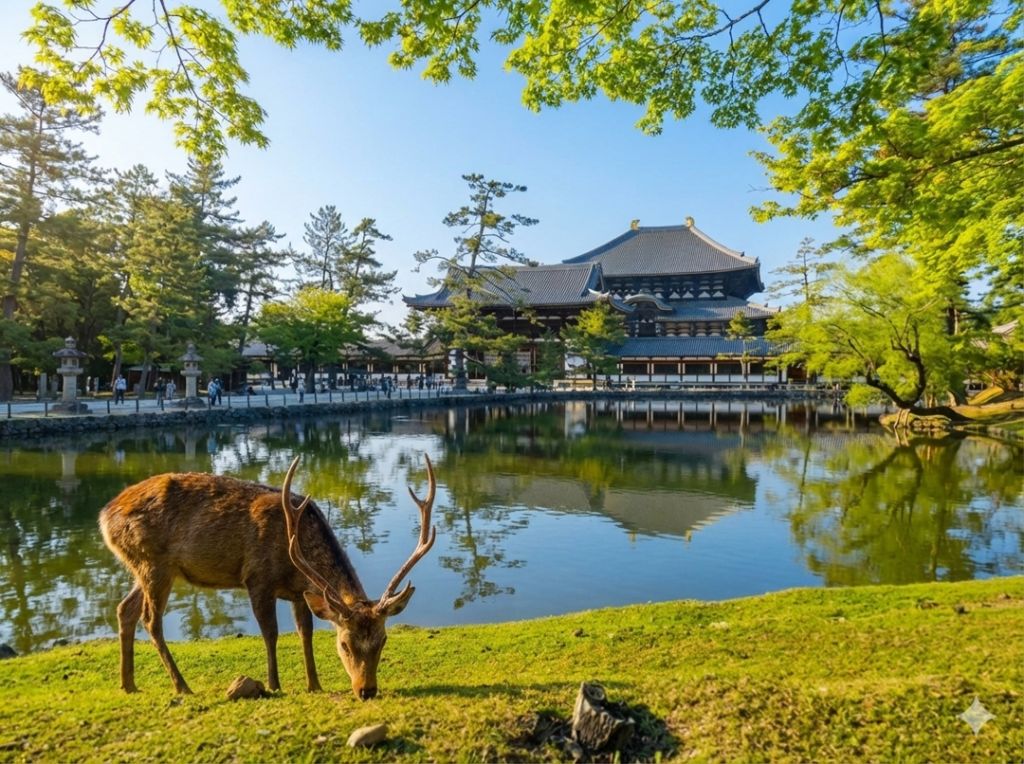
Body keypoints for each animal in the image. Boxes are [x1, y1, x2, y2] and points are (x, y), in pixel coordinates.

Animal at [98, 454, 436, 699]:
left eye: (383, 640)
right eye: (344, 644)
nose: (366, 690)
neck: (293, 554)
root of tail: (104, 515)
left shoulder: (300, 592)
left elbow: (305, 632)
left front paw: (314, 684)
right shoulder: (257, 577)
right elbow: (270, 632)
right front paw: (274, 684)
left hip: (143, 567)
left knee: (125, 609)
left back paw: (128, 684)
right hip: (154, 563)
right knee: (150, 620)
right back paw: (181, 685)